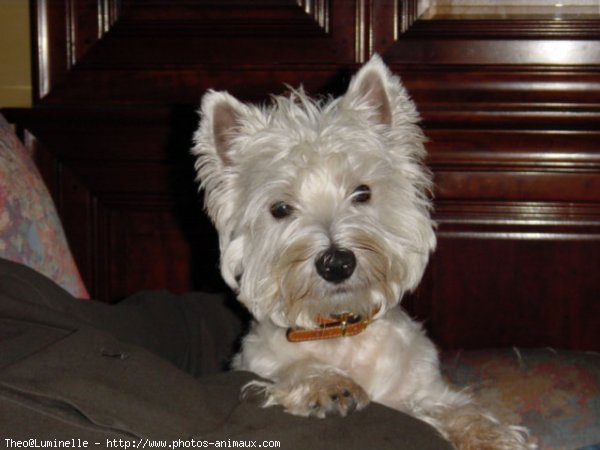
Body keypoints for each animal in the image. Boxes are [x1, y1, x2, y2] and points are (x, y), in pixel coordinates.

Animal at [193, 56, 536, 450]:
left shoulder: (423, 386)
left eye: (362, 192)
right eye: (280, 208)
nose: (337, 263)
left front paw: (492, 435)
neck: (340, 332)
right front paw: (328, 384)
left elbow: (451, 407)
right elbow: (290, 370)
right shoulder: (254, 363)